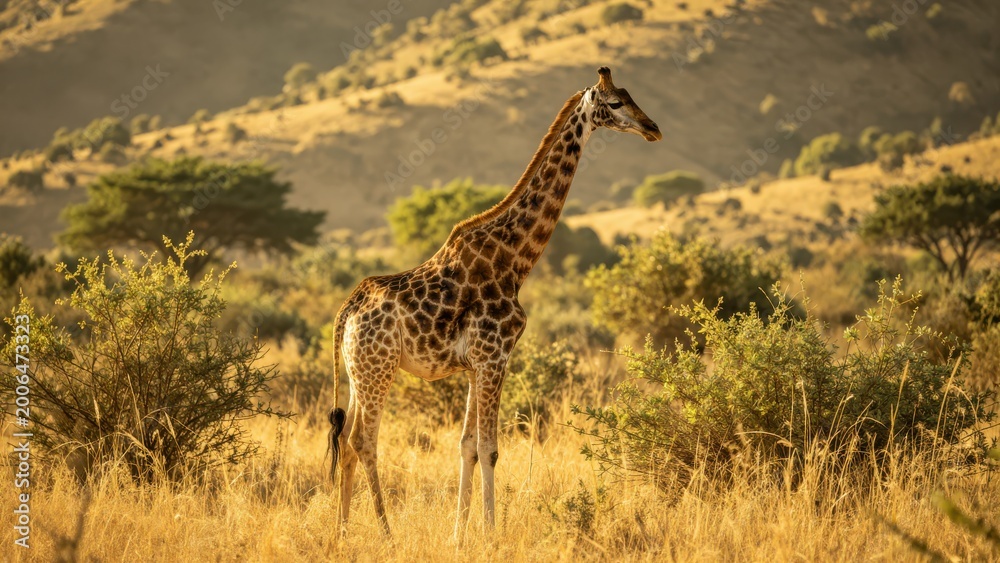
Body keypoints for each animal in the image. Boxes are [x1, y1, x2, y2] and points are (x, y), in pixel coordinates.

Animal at [328, 66, 661, 537]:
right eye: (615, 103)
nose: (653, 128)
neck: (515, 261)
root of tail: (347, 312)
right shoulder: (494, 356)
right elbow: (490, 448)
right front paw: (490, 533)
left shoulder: (475, 366)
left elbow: (467, 446)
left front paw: (459, 535)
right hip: (379, 368)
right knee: (362, 440)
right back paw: (386, 533)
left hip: (358, 370)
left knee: (345, 440)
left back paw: (341, 531)